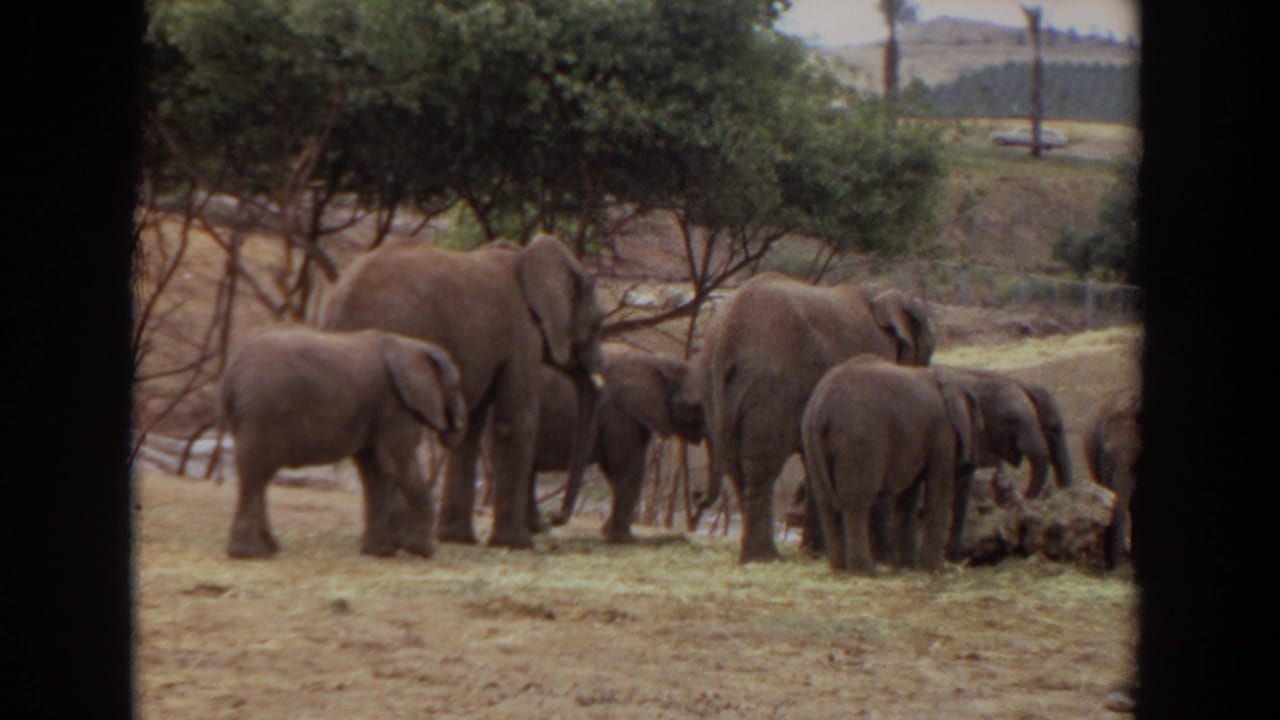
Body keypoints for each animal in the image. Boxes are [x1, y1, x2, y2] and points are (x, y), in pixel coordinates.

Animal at [218, 326, 468, 558]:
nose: (457, 429)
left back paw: (268, 550)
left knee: (259, 474)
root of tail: (230, 374)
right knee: (256, 472)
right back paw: (249, 554)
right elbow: (397, 463)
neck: (412, 345)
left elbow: (374, 470)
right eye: (455, 387)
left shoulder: (378, 408)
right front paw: (422, 551)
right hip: (262, 409)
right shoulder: (394, 405)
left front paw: (380, 553)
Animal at [319, 234, 606, 550]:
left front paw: (458, 538)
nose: (555, 519)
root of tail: (338, 300)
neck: (526, 256)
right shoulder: (522, 334)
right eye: (598, 323)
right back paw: (403, 541)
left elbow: (471, 426)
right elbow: (514, 422)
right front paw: (518, 543)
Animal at [520, 343, 705, 542]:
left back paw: (539, 528)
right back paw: (541, 527)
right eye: (694, 407)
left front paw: (608, 531)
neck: (656, 361)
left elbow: (614, 468)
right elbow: (626, 465)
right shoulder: (618, 413)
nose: (698, 494)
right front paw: (623, 538)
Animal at [683, 272, 936, 563]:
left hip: (714, 388)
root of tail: (726, 336)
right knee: (761, 466)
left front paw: (816, 552)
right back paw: (765, 556)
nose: (695, 494)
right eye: (928, 353)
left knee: (735, 467)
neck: (880, 300)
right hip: (772, 387)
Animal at [800, 354, 983, 575]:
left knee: (826, 501)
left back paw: (839, 569)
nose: (958, 561)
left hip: (811, 438)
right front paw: (936, 570)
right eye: (979, 429)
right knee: (857, 503)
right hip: (859, 439)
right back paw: (866, 571)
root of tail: (821, 408)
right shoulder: (942, 431)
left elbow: (909, 496)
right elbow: (938, 489)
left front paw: (908, 566)